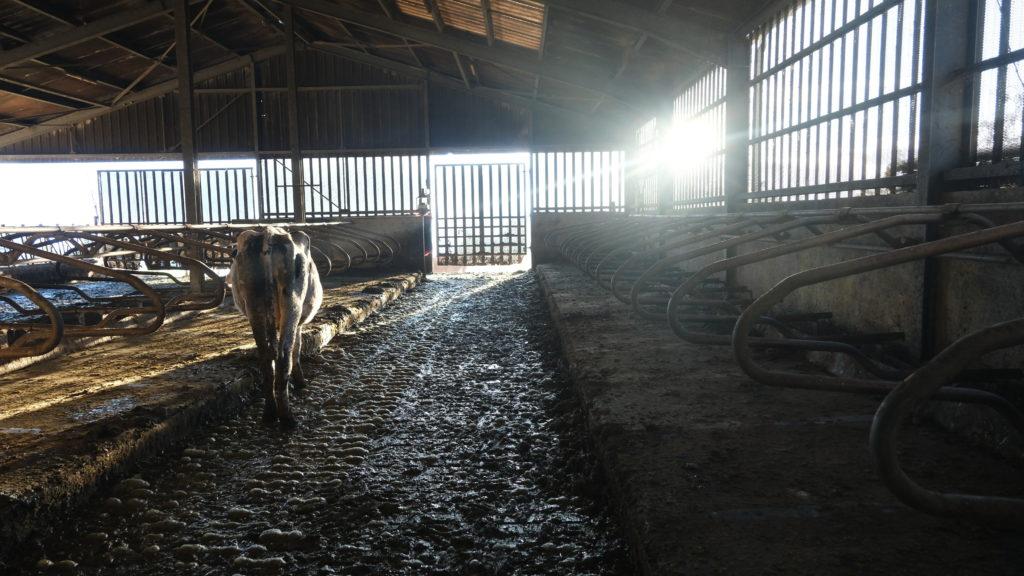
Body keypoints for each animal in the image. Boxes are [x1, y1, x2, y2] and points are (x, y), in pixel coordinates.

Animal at [229, 224, 321, 426]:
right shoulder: (299, 324)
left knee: (266, 356)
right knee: (284, 354)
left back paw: (269, 413)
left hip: (254, 302)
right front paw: (301, 382)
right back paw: (287, 418)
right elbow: (297, 348)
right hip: (292, 301)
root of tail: (269, 233)